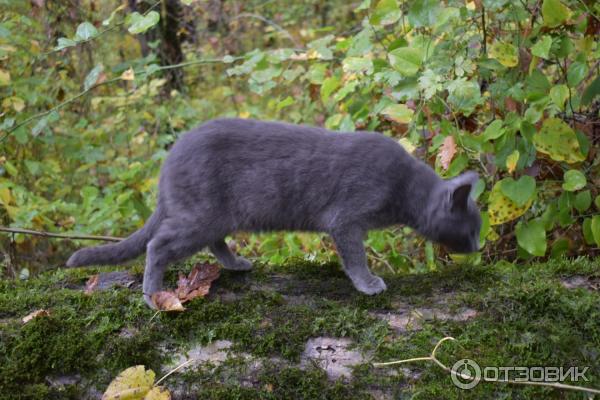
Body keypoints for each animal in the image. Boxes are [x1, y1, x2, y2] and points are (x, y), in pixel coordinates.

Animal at [65, 117, 480, 308]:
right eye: (472, 229)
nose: (477, 248)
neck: (405, 188)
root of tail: (168, 162)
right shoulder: (345, 219)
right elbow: (355, 256)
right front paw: (368, 283)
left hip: (215, 215)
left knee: (213, 242)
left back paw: (236, 265)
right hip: (200, 215)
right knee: (158, 245)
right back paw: (153, 294)